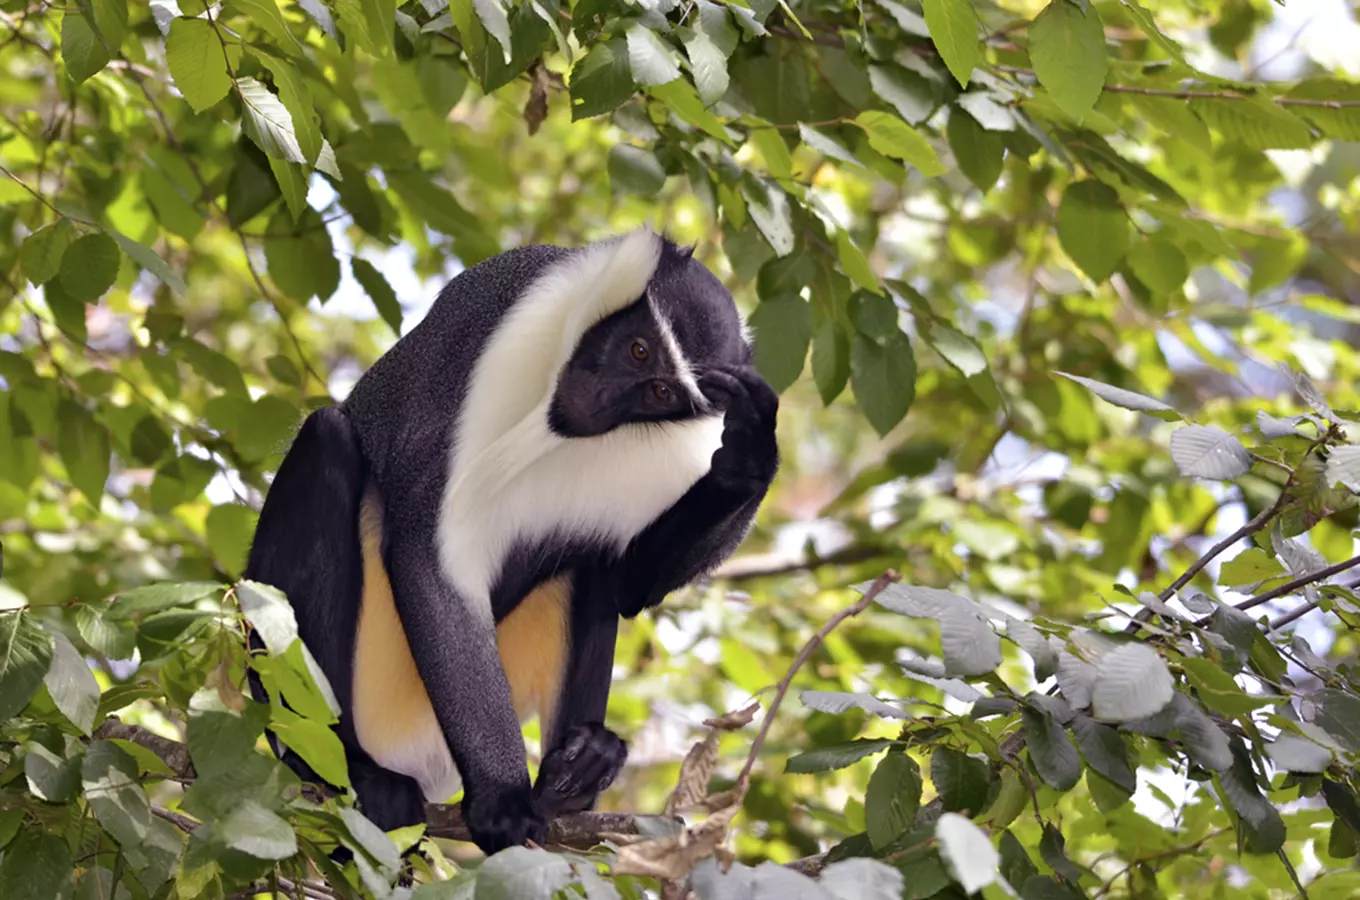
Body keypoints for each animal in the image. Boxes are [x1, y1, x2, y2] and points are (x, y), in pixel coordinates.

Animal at [240, 229, 783, 859]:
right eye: (639, 350)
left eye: (660, 391)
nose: (599, 399)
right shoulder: (505, 325)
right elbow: (432, 554)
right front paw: (502, 799)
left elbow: (629, 583)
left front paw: (748, 455)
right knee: (326, 438)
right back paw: (349, 767)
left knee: (591, 560)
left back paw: (572, 781)